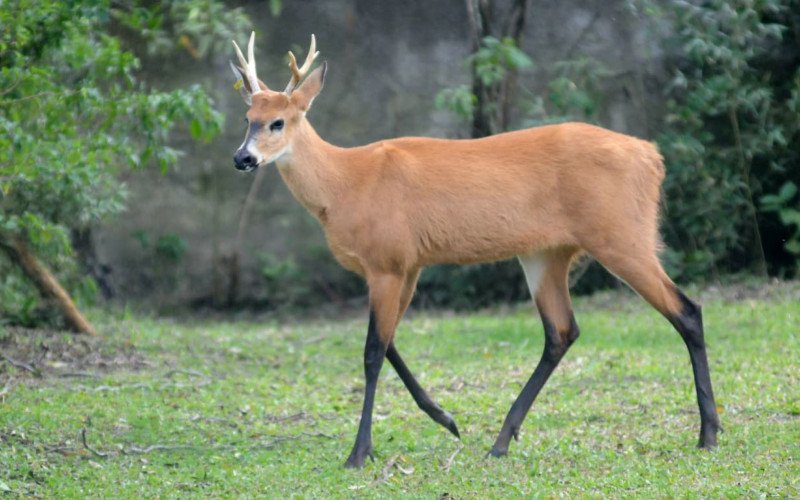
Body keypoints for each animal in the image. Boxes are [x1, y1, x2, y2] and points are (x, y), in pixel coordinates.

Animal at [228, 32, 721, 468]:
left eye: (278, 121)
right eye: (247, 117)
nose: (242, 158)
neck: (347, 183)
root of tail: (653, 158)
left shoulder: (388, 261)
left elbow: (371, 352)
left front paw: (358, 454)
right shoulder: (407, 265)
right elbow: (389, 343)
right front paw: (446, 419)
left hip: (621, 235)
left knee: (687, 310)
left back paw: (708, 434)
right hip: (547, 252)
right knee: (561, 331)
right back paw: (501, 442)